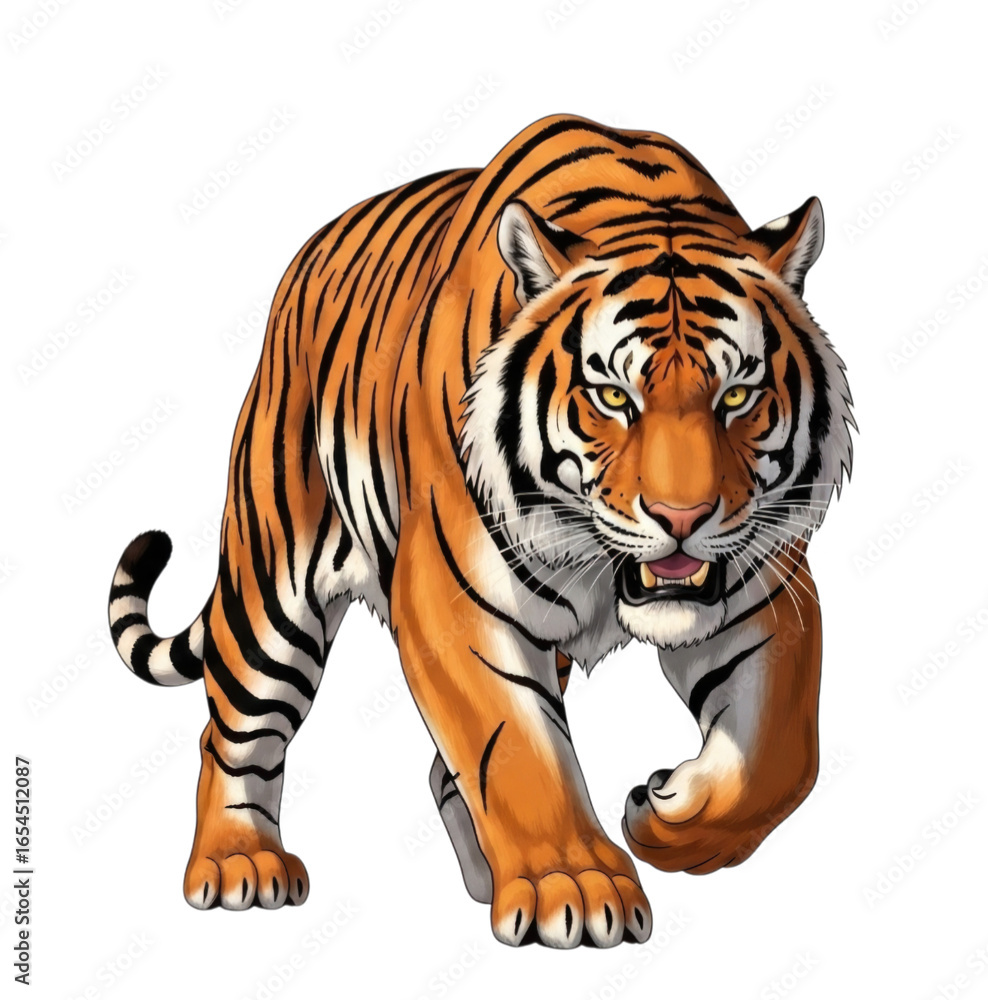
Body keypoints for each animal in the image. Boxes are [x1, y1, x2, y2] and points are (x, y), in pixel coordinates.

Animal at [107, 113, 853, 949]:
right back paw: (238, 865)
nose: (683, 519)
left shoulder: (765, 592)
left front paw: (666, 815)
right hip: (272, 589)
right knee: (234, 731)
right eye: (612, 396)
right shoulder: (455, 600)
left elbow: (781, 756)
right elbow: (518, 748)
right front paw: (576, 886)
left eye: (737, 396)